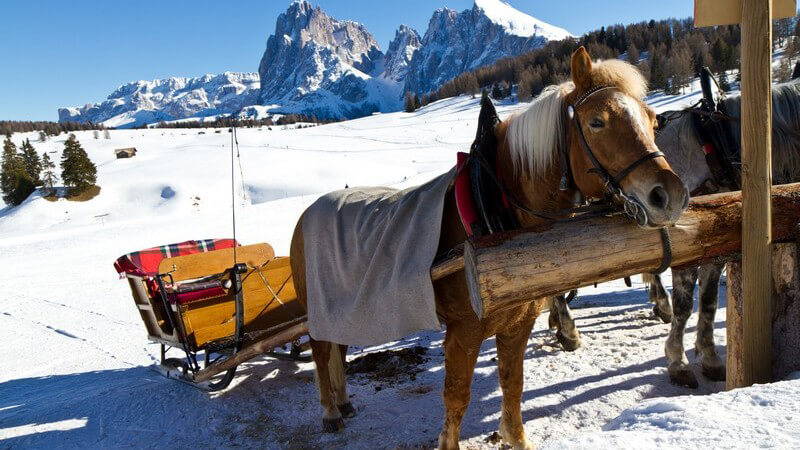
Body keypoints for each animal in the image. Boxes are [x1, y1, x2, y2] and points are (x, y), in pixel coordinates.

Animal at [290, 47, 692, 448]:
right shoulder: (464, 331)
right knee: (321, 350)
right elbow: (457, 395)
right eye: (597, 122)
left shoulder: (518, 322)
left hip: (343, 309)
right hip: (318, 307)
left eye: (653, 120)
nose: (669, 196)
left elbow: (512, 382)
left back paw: (343, 402)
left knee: (338, 346)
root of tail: (305, 214)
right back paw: (330, 410)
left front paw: (515, 437)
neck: (497, 210)